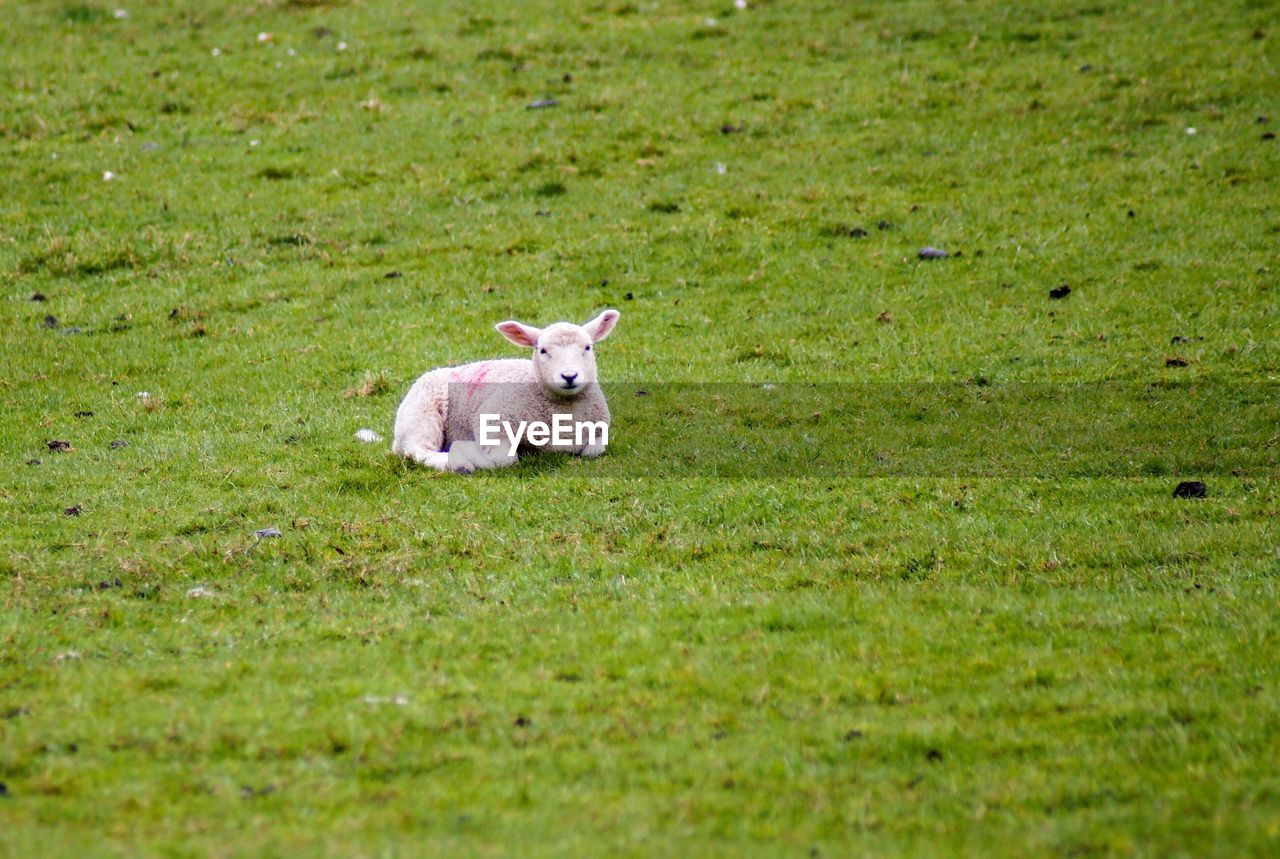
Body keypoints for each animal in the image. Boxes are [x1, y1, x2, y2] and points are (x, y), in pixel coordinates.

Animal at [394, 309, 624, 471]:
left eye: (587, 347)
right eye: (543, 350)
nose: (569, 376)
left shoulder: (599, 431)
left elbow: (594, 450)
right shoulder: (493, 420)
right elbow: (502, 459)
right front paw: (467, 451)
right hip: (422, 413)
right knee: (418, 449)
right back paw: (458, 463)